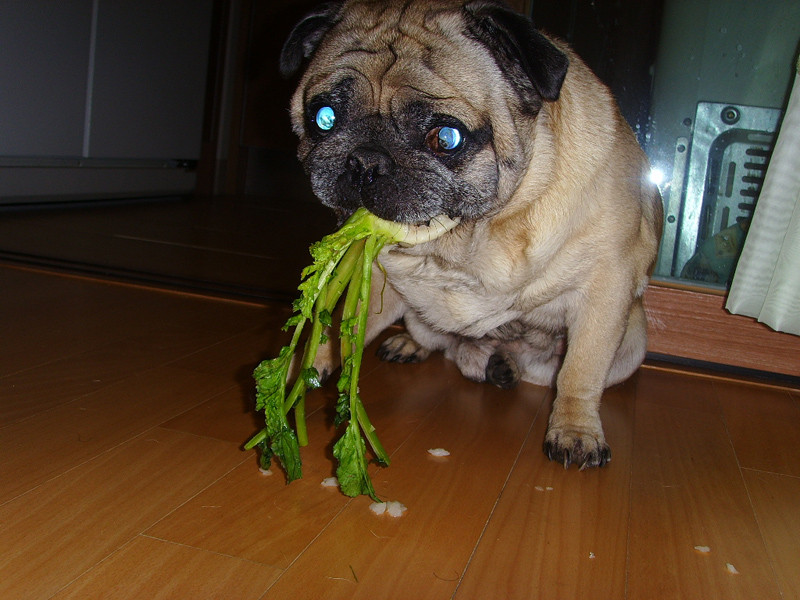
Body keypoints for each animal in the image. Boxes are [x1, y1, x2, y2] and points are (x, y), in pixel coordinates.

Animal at [279, 0, 663, 469]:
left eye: (446, 138)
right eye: (324, 118)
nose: (365, 161)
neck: (473, 236)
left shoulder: (605, 287)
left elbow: (581, 371)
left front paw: (576, 431)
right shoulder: (377, 280)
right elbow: (337, 330)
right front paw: (304, 371)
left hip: (632, 340)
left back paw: (505, 367)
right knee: (442, 343)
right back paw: (423, 347)